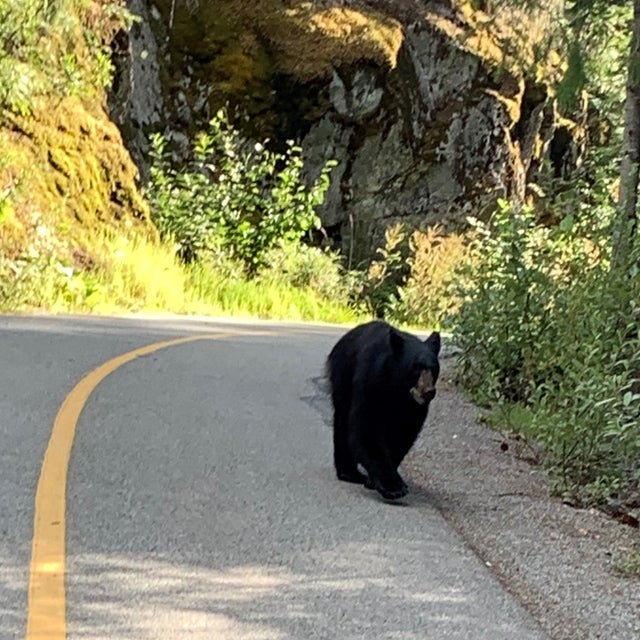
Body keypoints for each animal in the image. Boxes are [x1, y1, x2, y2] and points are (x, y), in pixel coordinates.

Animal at [326, 320, 440, 500]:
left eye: (434, 368)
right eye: (416, 367)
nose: (428, 391)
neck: (397, 387)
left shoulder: (413, 407)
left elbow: (402, 434)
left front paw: (376, 481)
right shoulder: (371, 381)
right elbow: (367, 427)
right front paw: (393, 486)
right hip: (343, 376)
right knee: (343, 420)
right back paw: (349, 473)